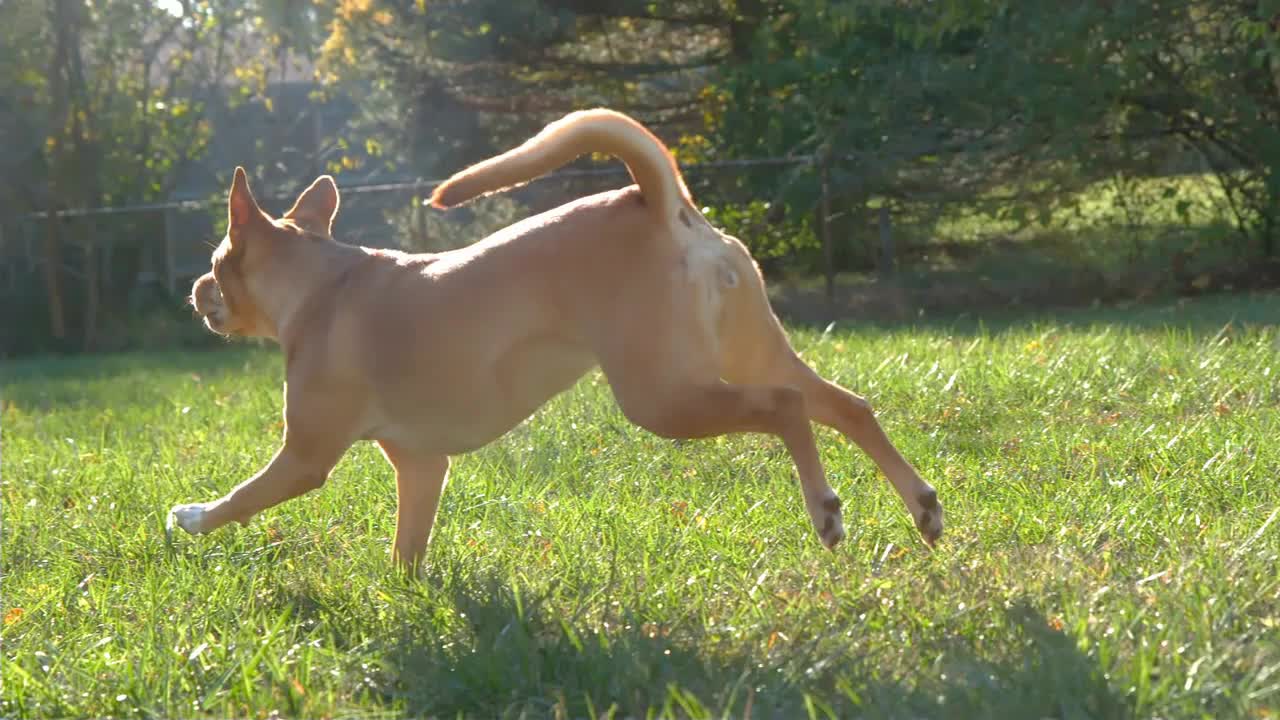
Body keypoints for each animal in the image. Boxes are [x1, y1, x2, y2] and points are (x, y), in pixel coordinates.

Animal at [170, 107, 942, 566]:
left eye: (217, 261)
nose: (196, 290)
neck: (322, 280)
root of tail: (655, 201)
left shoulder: (306, 457)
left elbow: (242, 498)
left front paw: (192, 516)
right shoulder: (422, 467)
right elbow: (407, 550)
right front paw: (406, 600)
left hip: (663, 397)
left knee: (784, 408)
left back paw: (825, 510)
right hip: (748, 349)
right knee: (844, 406)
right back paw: (922, 507)